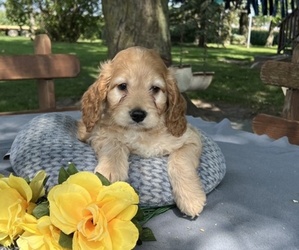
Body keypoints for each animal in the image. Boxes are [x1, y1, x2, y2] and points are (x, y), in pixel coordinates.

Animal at [78, 46, 207, 217]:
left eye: (155, 89)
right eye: (122, 86)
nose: (138, 115)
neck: (141, 133)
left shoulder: (191, 139)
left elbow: (181, 161)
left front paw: (191, 198)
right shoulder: (100, 133)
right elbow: (113, 144)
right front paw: (110, 172)